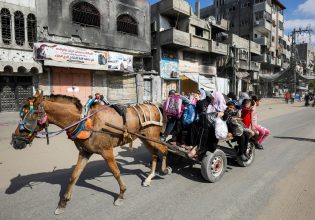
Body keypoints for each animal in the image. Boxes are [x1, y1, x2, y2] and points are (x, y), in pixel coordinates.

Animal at [11, 90, 169, 215]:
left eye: (29, 117)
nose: (15, 141)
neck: (85, 120)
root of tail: (155, 105)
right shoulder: (85, 152)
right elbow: (74, 176)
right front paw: (63, 203)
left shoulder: (106, 151)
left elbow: (116, 172)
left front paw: (121, 194)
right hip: (145, 139)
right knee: (154, 154)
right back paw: (149, 177)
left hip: (153, 137)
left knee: (164, 149)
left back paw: (165, 169)